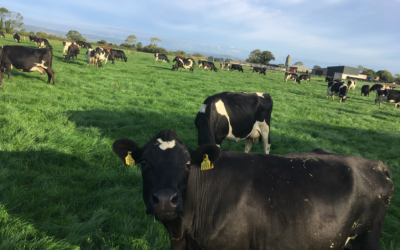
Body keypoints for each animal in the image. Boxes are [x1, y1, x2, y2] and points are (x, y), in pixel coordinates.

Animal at [112, 129, 394, 250]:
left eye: (187, 164)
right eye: (144, 163)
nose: (165, 200)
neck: (183, 232)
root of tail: (375, 163)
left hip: (367, 239)